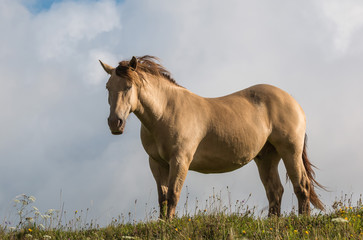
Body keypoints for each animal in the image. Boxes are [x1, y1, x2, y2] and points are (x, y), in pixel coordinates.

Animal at [99, 55, 324, 218]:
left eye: (128, 86)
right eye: (108, 88)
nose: (115, 123)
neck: (165, 112)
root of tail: (292, 100)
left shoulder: (180, 160)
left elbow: (172, 195)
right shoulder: (157, 163)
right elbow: (162, 198)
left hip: (290, 151)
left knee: (301, 185)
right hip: (266, 157)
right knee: (275, 191)